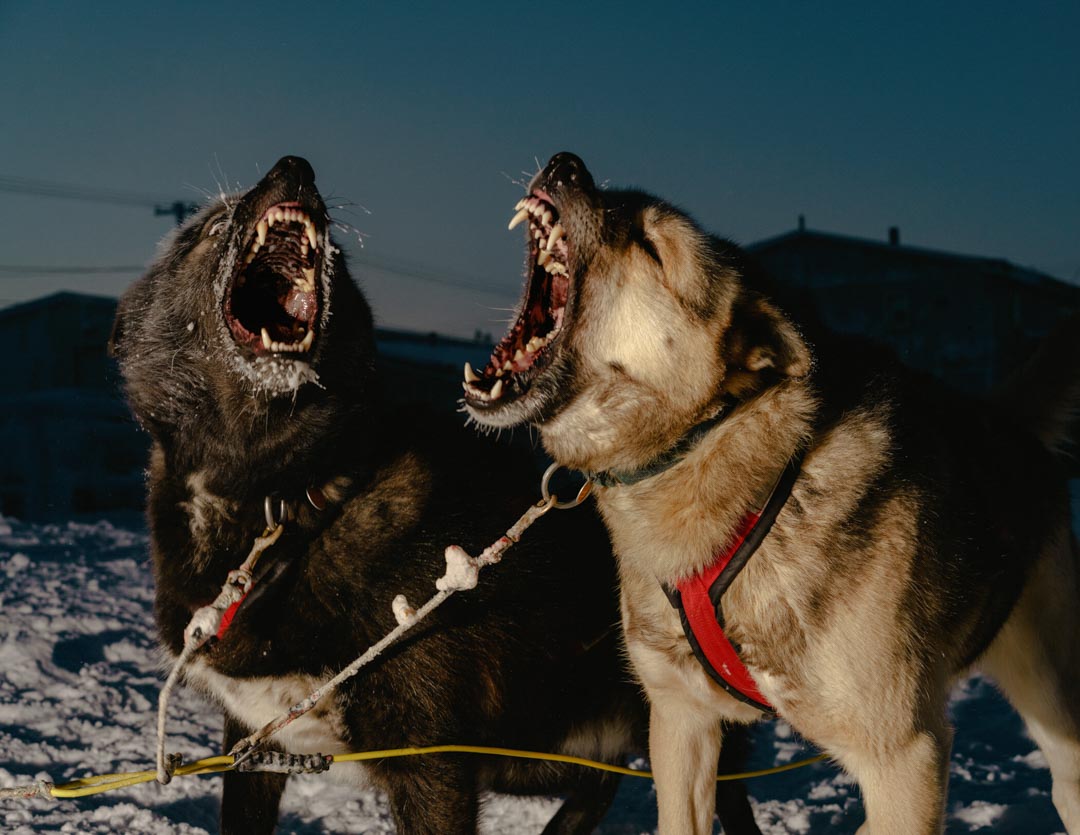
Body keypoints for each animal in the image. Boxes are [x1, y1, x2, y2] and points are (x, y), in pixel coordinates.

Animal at [111, 157, 760, 833]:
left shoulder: (430, 763)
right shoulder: (256, 744)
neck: (289, 499)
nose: (295, 167)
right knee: (600, 780)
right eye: (210, 227)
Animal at [462, 153, 1080, 829]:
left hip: (1054, 713)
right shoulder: (681, 722)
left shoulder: (904, 759)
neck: (714, 451)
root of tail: (1006, 423)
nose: (566, 165)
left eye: (652, 245)